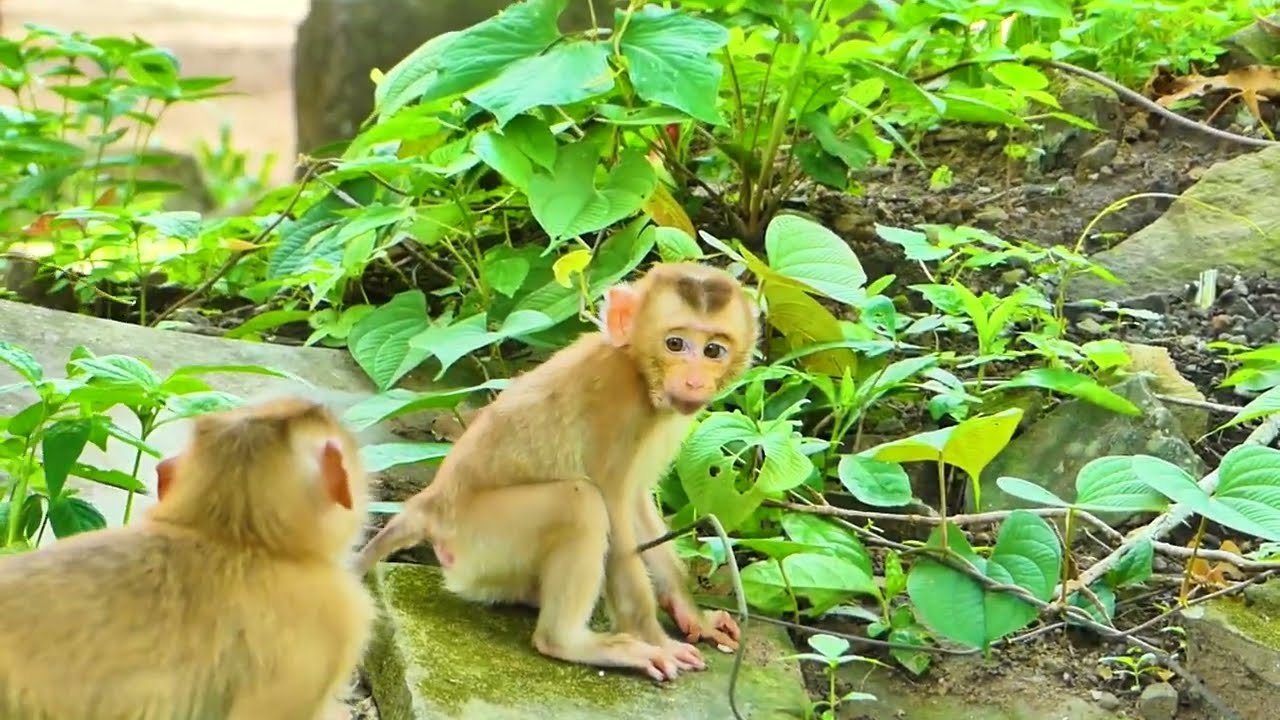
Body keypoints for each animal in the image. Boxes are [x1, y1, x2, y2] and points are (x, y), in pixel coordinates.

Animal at [356, 261, 760, 683]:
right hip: (479, 540)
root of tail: (429, 505)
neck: (636, 370)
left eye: (713, 350)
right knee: (579, 502)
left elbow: (636, 503)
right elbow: (615, 507)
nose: (695, 380)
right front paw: (654, 638)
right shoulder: (617, 403)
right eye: (675, 344)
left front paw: (691, 614)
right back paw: (569, 641)